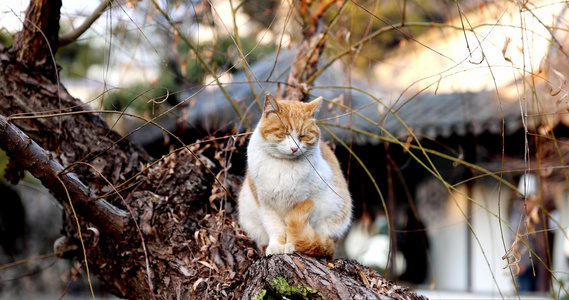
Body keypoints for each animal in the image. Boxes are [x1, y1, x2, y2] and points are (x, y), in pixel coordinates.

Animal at [235, 94, 350, 258]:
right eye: (284, 133)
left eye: (303, 136)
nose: (294, 148)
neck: (283, 166)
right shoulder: (265, 206)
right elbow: (275, 229)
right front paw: (276, 246)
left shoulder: (309, 202)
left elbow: (294, 229)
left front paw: (291, 245)